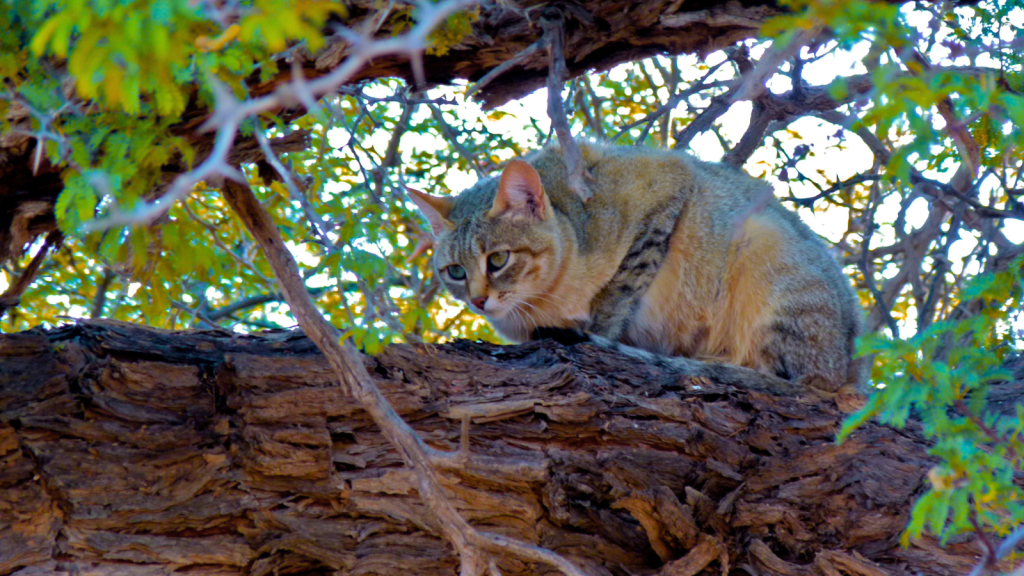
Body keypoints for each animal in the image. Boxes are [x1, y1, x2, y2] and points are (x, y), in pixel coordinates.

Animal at [407, 142, 864, 391]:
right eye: (455, 272)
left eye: (498, 259)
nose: (478, 301)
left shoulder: (667, 186)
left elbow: (621, 288)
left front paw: (597, 331)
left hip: (764, 241)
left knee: (794, 381)